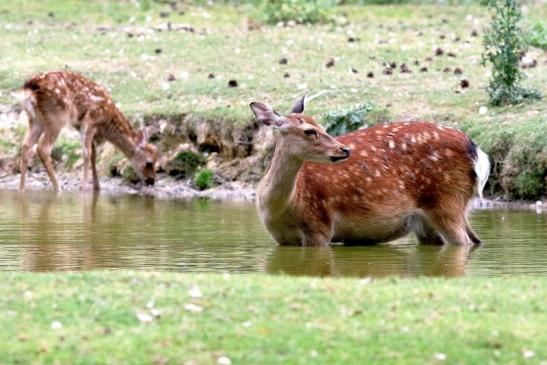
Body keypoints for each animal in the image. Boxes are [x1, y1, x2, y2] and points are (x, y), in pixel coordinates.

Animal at [16, 69, 157, 192]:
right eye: (149, 163)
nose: (152, 181)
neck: (106, 123)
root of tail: (30, 88)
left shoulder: (80, 125)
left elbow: (93, 153)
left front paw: (97, 187)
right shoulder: (90, 121)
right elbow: (87, 153)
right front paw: (83, 187)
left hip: (36, 120)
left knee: (26, 145)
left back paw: (22, 189)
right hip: (56, 117)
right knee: (43, 148)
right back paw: (58, 188)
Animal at [250, 95, 490, 246]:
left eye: (322, 126)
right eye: (309, 131)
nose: (344, 149)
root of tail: (478, 153)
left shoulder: (318, 226)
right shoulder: (282, 239)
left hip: (448, 200)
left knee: (464, 241)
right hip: (430, 220)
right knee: (474, 240)